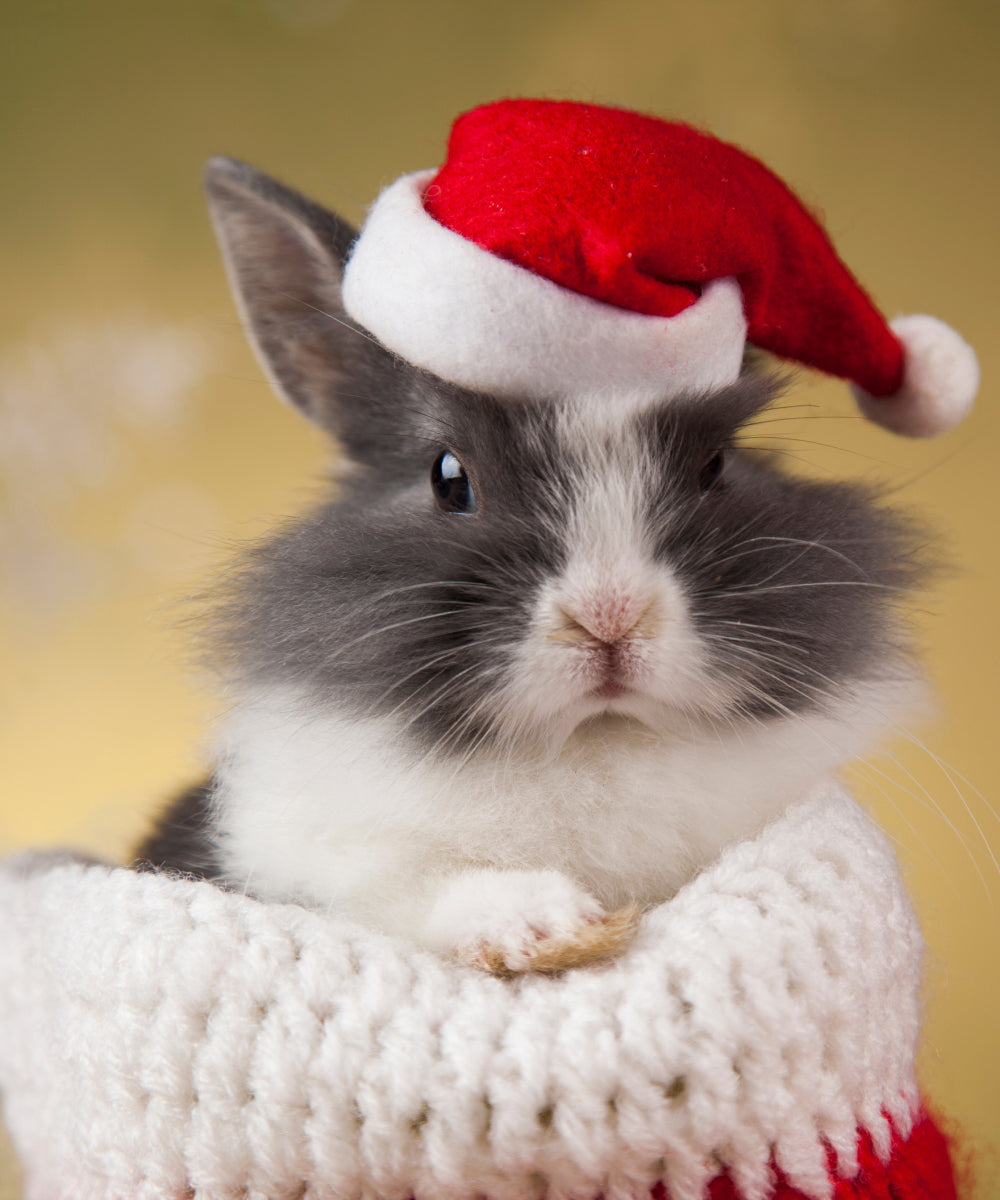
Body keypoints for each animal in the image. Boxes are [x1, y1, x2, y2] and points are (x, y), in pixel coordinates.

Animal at [140, 100, 974, 974]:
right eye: (448, 476)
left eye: (716, 465)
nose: (609, 616)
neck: (590, 742)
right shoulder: (301, 854)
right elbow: (411, 888)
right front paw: (543, 922)